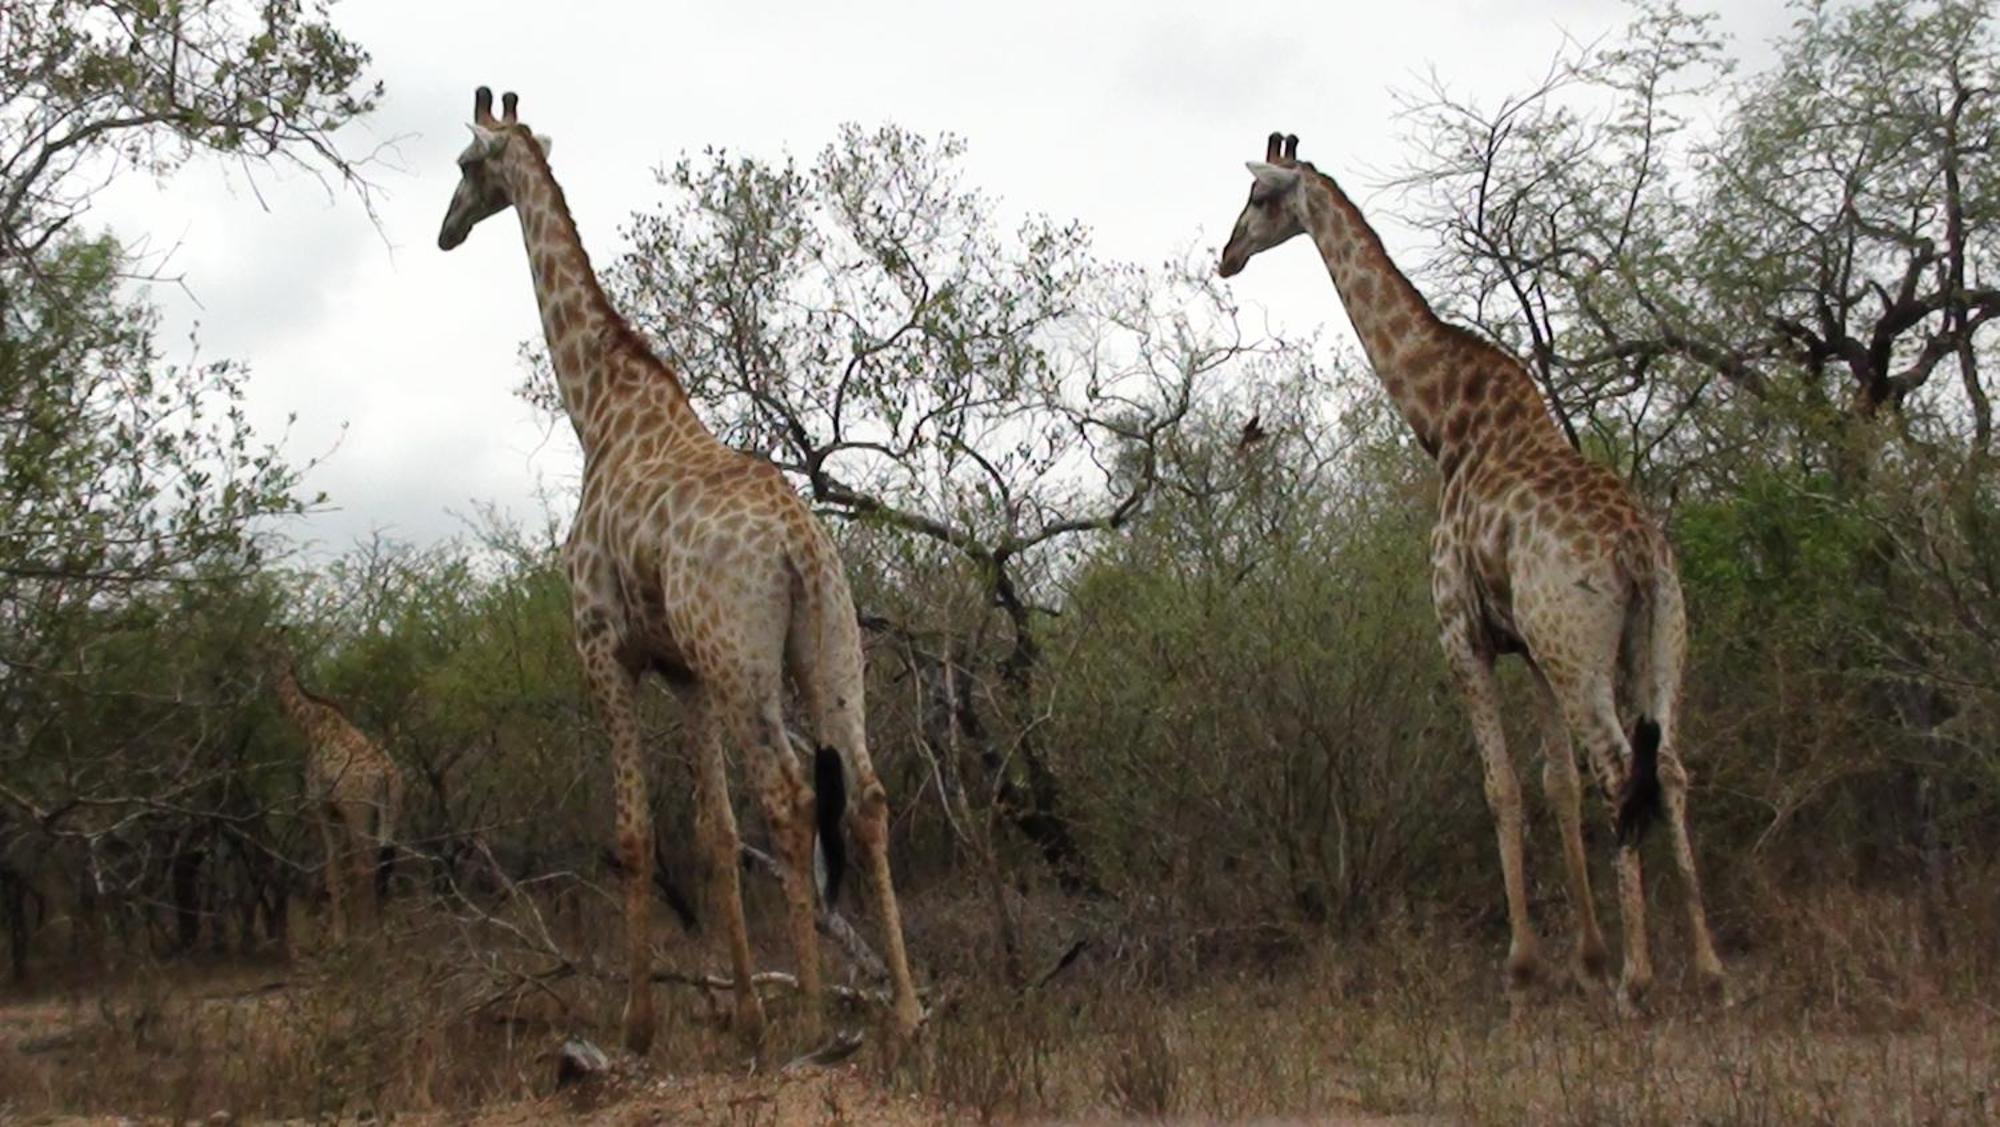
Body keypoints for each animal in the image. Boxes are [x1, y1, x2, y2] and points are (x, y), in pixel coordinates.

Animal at [270, 647, 406, 939]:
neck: (309, 722)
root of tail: (386, 775)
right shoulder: (339, 814)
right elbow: (342, 866)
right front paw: (347, 927)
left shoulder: (321, 807)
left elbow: (332, 867)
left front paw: (340, 934)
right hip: (392, 808)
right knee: (385, 861)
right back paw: (383, 930)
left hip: (359, 811)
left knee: (366, 864)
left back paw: (368, 934)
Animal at [434, 87, 924, 1055]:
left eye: (468, 166)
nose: (446, 230)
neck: (601, 412)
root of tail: (798, 542)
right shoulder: (683, 671)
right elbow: (713, 834)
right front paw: (741, 1013)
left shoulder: (603, 648)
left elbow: (636, 836)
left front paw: (638, 1024)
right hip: (832, 644)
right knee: (867, 796)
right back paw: (908, 1011)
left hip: (744, 661)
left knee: (790, 796)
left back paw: (819, 1014)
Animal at [1208, 133, 1728, 1011]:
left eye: (1257, 200)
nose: (1226, 256)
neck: (1445, 422)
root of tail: (1635, 549)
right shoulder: (1531, 650)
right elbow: (1557, 784)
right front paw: (1585, 959)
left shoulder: (1463, 635)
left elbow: (1503, 786)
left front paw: (1526, 970)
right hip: (1658, 635)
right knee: (1671, 767)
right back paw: (1711, 969)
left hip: (1583, 649)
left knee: (1621, 764)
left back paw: (1641, 979)